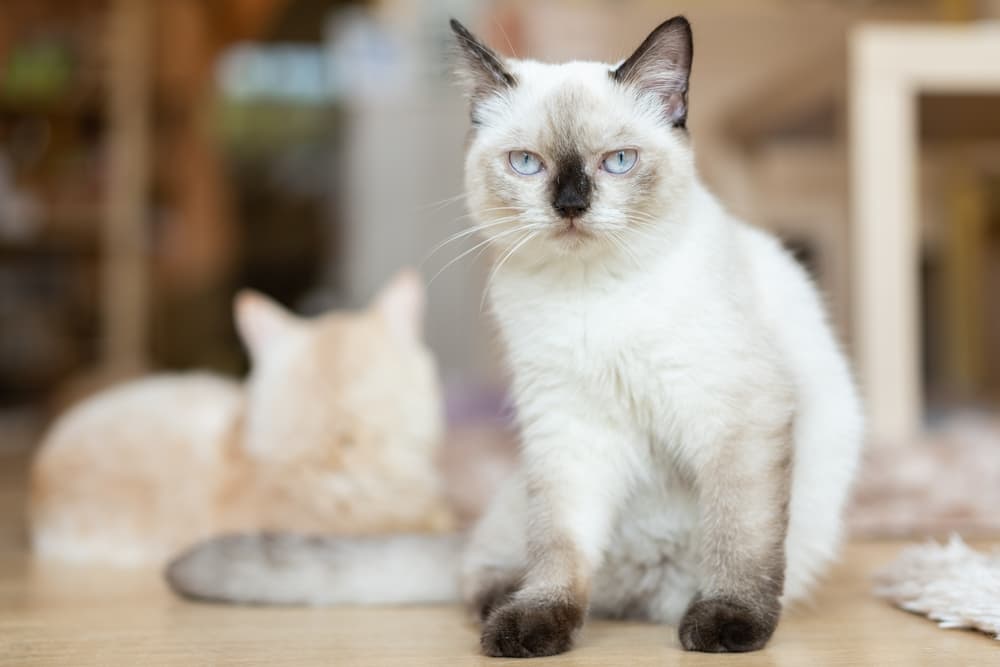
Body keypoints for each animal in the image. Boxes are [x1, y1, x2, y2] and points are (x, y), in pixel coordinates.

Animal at [164, 15, 860, 656]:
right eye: (527, 164)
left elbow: (737, 536)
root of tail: (643, 595)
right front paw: (534, 627)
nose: (572, 204)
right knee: (488, 570)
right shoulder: (568, 432)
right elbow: (560, 551)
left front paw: (727, 627)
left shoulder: (737, 416)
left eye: (618, 162)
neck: (593, 296)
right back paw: (504, 607)